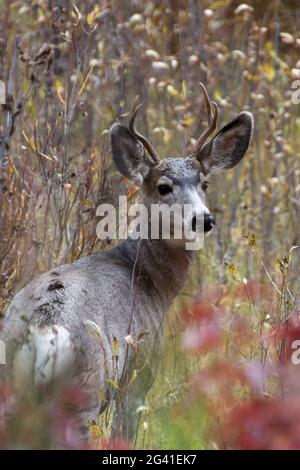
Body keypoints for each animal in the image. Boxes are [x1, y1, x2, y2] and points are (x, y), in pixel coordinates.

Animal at [0, 84, 253, 440]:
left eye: (204, 183)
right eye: (163, 187)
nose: (203, 219)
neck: (148, 279)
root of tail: (44, 329)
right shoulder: (140, 370)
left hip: (11, 387)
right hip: (83, 392)